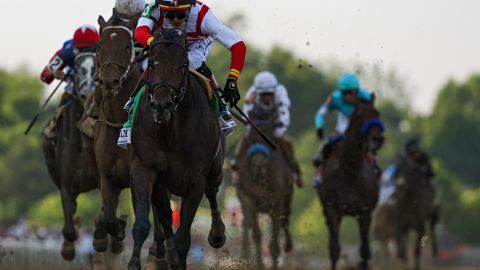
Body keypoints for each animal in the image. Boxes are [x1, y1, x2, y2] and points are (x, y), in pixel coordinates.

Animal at [42, 51, 99, 260]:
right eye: (76, 69)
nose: (87, 93)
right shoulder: (66, 186)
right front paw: (68, 247)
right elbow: (69, 230)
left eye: (96, 67)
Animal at [126, 28, 226, 268]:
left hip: (215, 169)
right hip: (162, 185)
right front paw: (135, 263)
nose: (162, 105)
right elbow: (143, 224)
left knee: (212, 193)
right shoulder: (144, 168)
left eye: (182, 64)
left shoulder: (195, 180)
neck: (173, 132)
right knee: (164, 215)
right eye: (153, 63)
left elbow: (184, 237)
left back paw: (217, 234)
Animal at [232, 105, 292, 270]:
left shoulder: (277, 203)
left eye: (269, 137)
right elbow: (257, 236)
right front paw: (259, 264)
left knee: (286, 219)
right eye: (249, 138)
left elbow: (274, 243)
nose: (258, 161)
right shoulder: (250, 200)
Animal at [318, 99, 386, 270]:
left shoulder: (365, 212)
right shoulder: (333, 209)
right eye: (359, 114)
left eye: (377, 113)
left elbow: (365, 251)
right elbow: (335, 249)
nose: (377, 139)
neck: (350, 171)